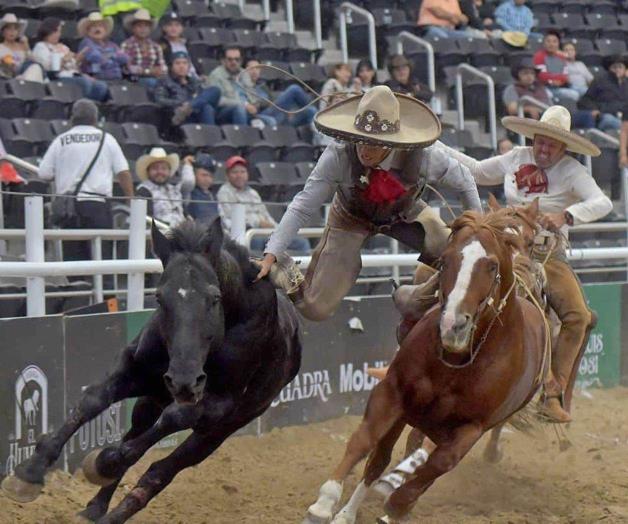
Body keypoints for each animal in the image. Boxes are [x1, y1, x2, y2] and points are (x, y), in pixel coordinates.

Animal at [1, 218, 302, 524]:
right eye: (158, 297)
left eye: (214, 298)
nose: (183, 380)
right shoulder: (135, 369)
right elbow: (94, 399)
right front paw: (29, 472)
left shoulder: (219, 404)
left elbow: (173, 419)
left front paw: (103, 463)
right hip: (150, 401)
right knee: (137, 435)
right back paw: (95, 508)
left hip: (219, 431)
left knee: (159, 470)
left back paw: (113, 505)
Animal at [304, 209, 548, 524]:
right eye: (444, 261)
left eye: (492, 265)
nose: (453, 325)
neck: (455, 364)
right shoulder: (393, 390)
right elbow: (365, 442)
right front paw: (325, 503)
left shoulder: (472, 428)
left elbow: (437, 466)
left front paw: (396, 506)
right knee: (380, 458)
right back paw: (348, 512)